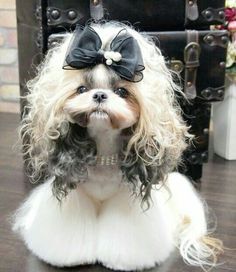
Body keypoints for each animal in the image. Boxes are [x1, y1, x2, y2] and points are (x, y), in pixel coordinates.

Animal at [12, 22, 223, 270]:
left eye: (122, 91)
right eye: (81, 89)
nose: (99, 95)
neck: (103, 147)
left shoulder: (126, 199)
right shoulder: (77, 195)